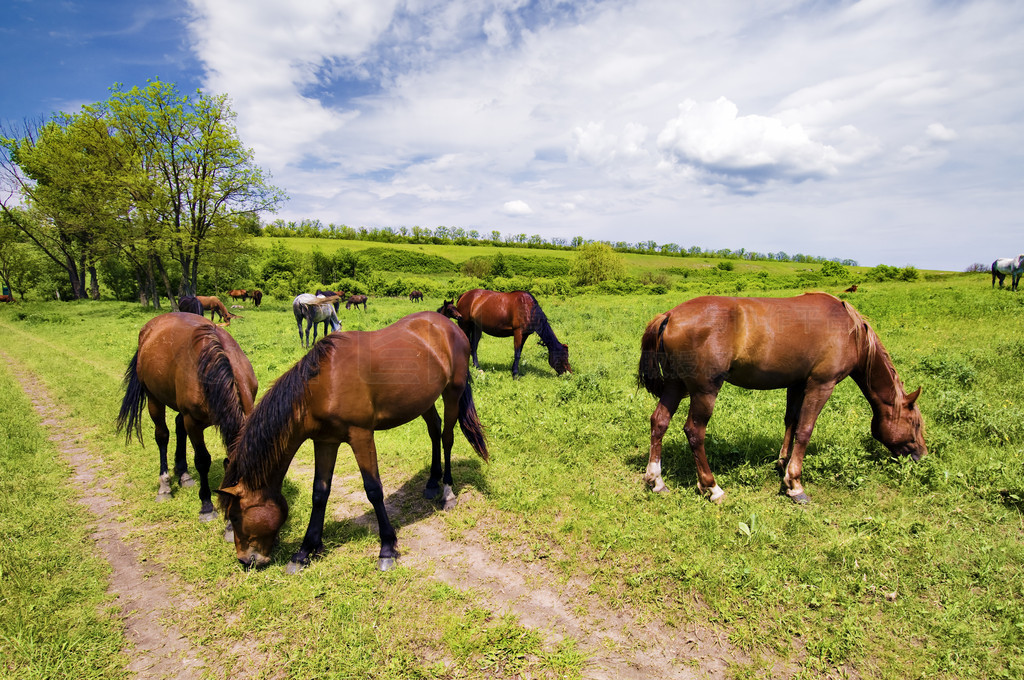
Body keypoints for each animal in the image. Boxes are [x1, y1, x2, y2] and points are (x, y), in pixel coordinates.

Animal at [116, 313, 258, 520]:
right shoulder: (193, 422)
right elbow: (202, 460)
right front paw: (206, 505)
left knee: (178, 426)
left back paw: (183, 474)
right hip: (154, 399)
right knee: (162, 436)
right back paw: (165, 486)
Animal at [218, 313, 489, 573]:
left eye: (235, 516)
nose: (245, 560)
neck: (322, 387)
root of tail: (449, 325)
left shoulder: (361, 436)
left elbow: (374, 489)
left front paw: (387, 549)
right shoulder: (325, 441)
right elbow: (320, 493)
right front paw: (305, 551)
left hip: (452, 392)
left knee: (446, 437)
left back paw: (447, 492)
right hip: (423, 401)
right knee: (434, 430)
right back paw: (432, 482)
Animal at [438, 288, 573, 378]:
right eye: (563, 356)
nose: (569, 373)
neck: (529, 309)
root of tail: (464, 295)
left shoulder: (524, 335)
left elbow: (519, 352)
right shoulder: (518, 333)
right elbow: (517, 353)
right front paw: (515, 374)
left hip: (476, 328)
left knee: (474, 346)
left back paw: (478, 367)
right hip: (465, 325)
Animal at [634, 292, 925, 503]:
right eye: (916, 423)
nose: (921, 454)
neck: (851, 333)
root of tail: (670, 316)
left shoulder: (797, 383)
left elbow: (791, 422)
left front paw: (783, 463)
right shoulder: (821, 385)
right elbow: (805, 430)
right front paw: (794, 484)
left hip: (675, 385)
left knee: (659, 421)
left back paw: (656, 480)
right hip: (704, 391)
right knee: (694, 432)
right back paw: (711, 487)